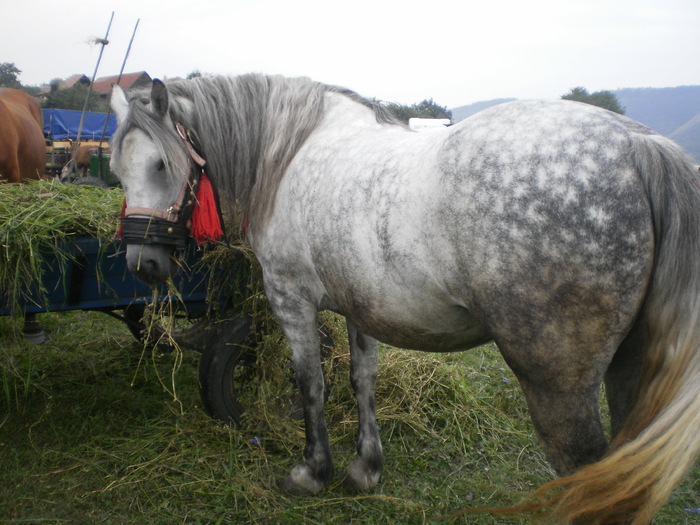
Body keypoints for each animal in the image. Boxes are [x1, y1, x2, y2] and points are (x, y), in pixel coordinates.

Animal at [108, 74, 700, 524]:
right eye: (117, 169)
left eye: (161, 164)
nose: (144, 264)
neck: (293, 150)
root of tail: (638, 145)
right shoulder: (359, 307)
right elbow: (361, 379)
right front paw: (365, 468)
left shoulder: (290, 298)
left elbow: (311, 384)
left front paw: (311, 473)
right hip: (629, 370)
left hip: (557, 384)